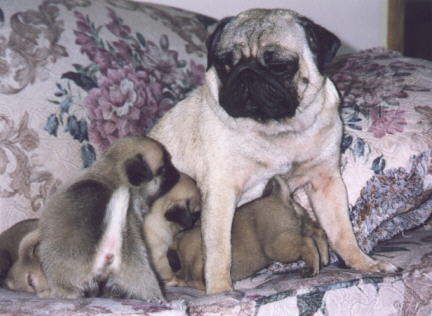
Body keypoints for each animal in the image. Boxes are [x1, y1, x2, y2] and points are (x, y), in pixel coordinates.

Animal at [168, 177, 328, 290]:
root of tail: (278, 196)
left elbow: (190, 281)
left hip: (277, 245)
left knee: (306, 242)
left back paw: (312, 268)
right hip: (303, 224)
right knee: (318, 233)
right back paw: (324, 259)